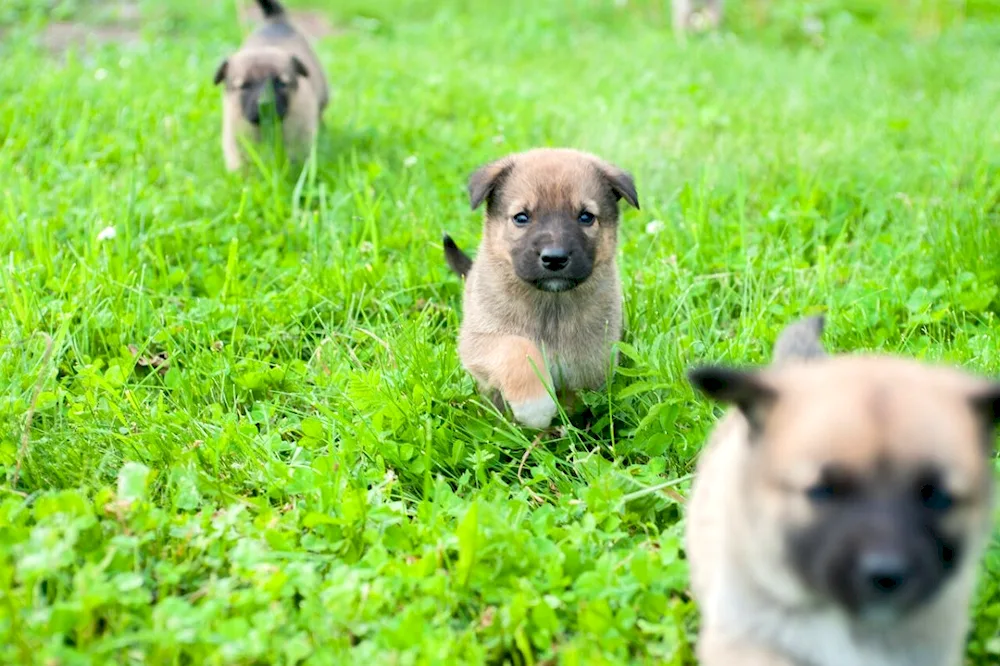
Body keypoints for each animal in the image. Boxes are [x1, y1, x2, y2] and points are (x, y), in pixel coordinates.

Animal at [212, 0, 328, 171]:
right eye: (245, 86)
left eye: (280, 83)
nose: (265, 105)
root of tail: (276, 21)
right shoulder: (235, 135)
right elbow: (242, 163)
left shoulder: (301, 133)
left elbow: (298, 158)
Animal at [444, 148, 640, 428]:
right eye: (521, 217)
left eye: (586, 217)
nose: (555, 258)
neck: (551, 305)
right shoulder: (479, 342)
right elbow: (517, 348)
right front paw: (535, 406)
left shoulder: (593, 361)